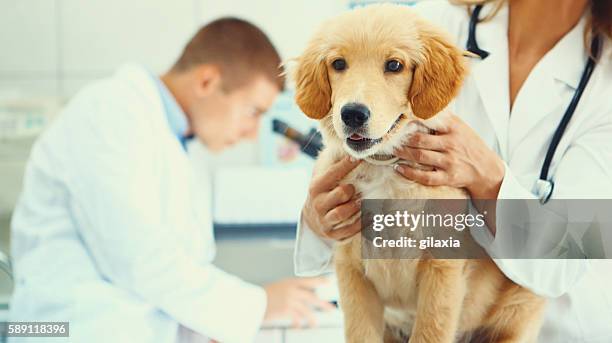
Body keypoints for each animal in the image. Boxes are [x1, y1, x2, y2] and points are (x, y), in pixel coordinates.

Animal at [292, 4, 544, 343]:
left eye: (394, 65)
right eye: (338, 64)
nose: (353, 114)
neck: (384, 167)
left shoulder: (442, 271)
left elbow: (431, 331)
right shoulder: (351, 272)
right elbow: (360, 332)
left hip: (521, 305)